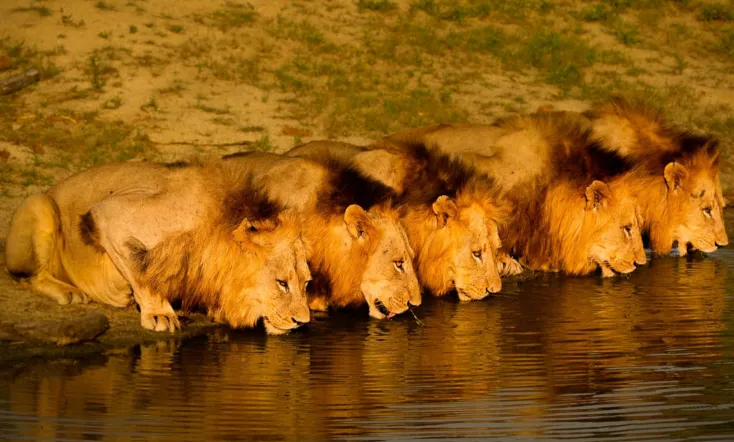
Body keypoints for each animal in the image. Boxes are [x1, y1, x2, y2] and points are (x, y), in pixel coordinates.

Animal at [5, 161, 312, 334]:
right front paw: (159, 314)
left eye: (307, 283)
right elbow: (142, 270)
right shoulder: (110, 214)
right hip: (41, 204)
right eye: (282, 283)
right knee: (28, 276)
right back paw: (70, 292)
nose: (303, 322)